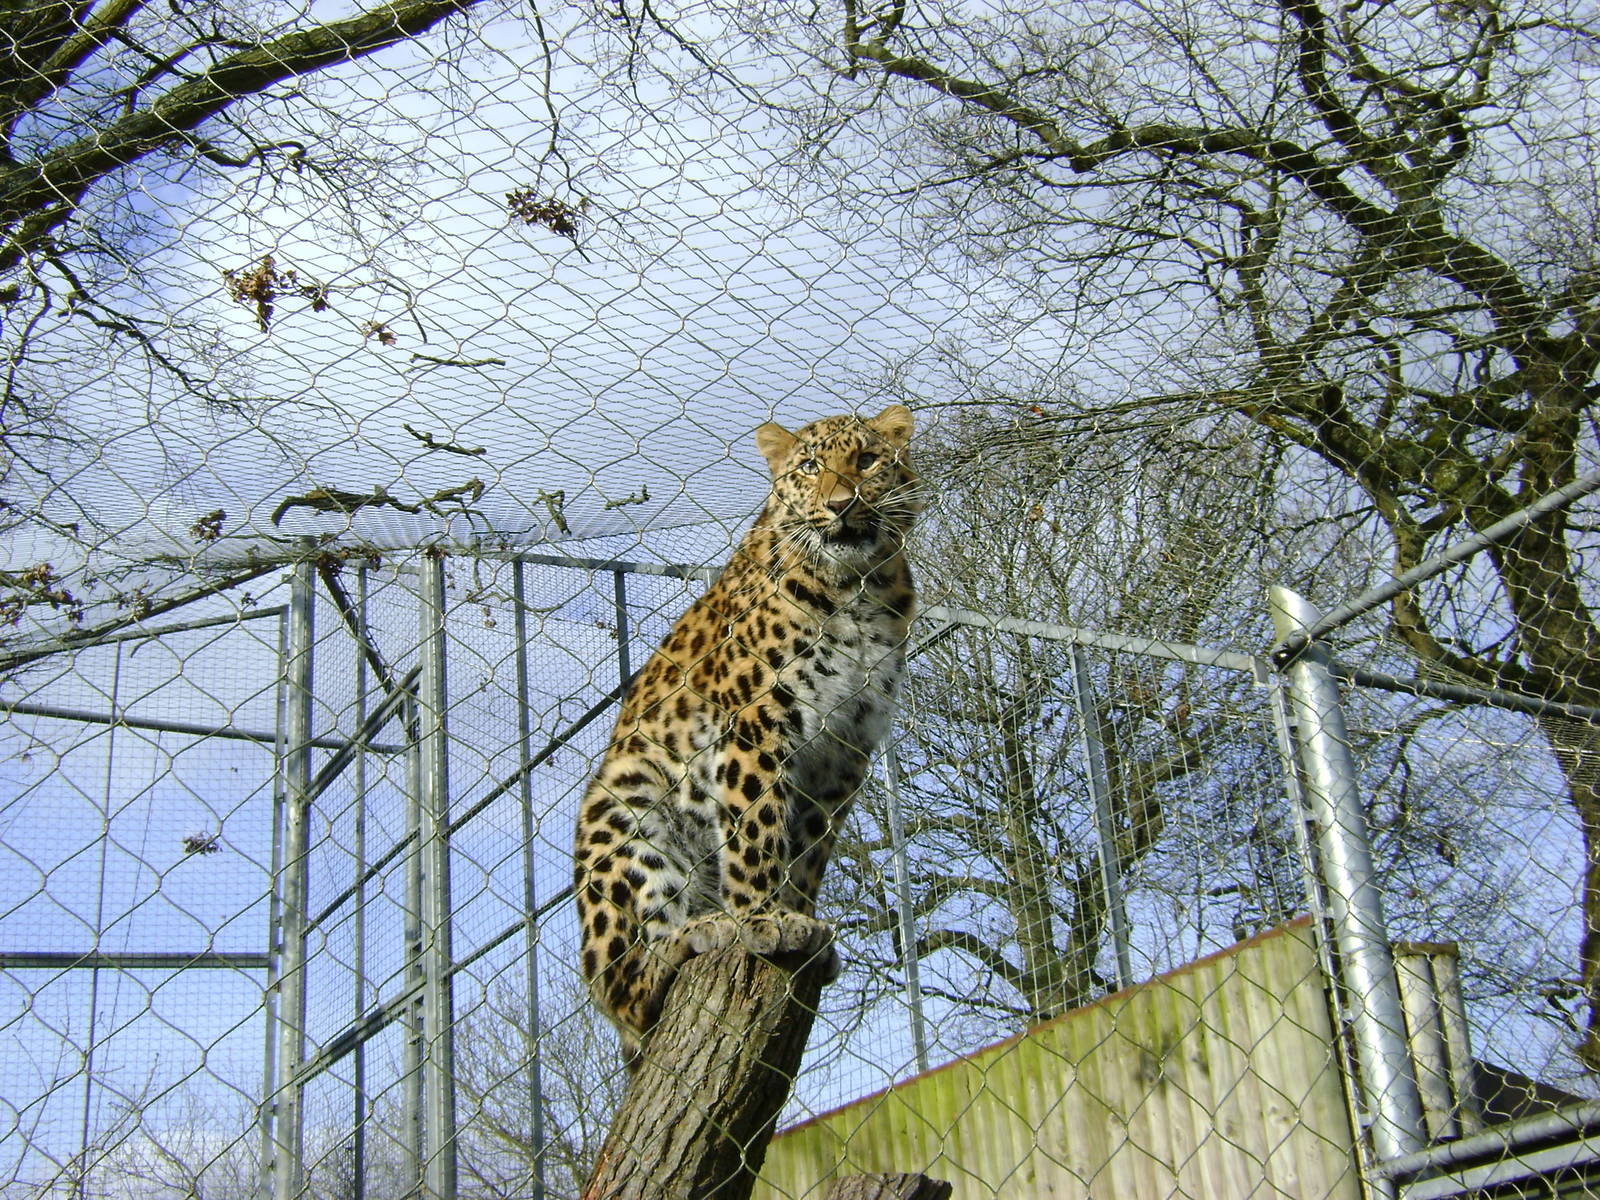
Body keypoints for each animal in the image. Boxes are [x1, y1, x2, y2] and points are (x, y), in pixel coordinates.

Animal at [573, 404, 921, 1065]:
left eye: (867, 460)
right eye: (808, 468)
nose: (840, 502)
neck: (857, 589)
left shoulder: (846, 746)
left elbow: (809, 850)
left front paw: (803, 922)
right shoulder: (756, 723)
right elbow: (756, 830)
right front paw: (762, 919)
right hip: (625, 816)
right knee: (626, 991)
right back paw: (696, 934)